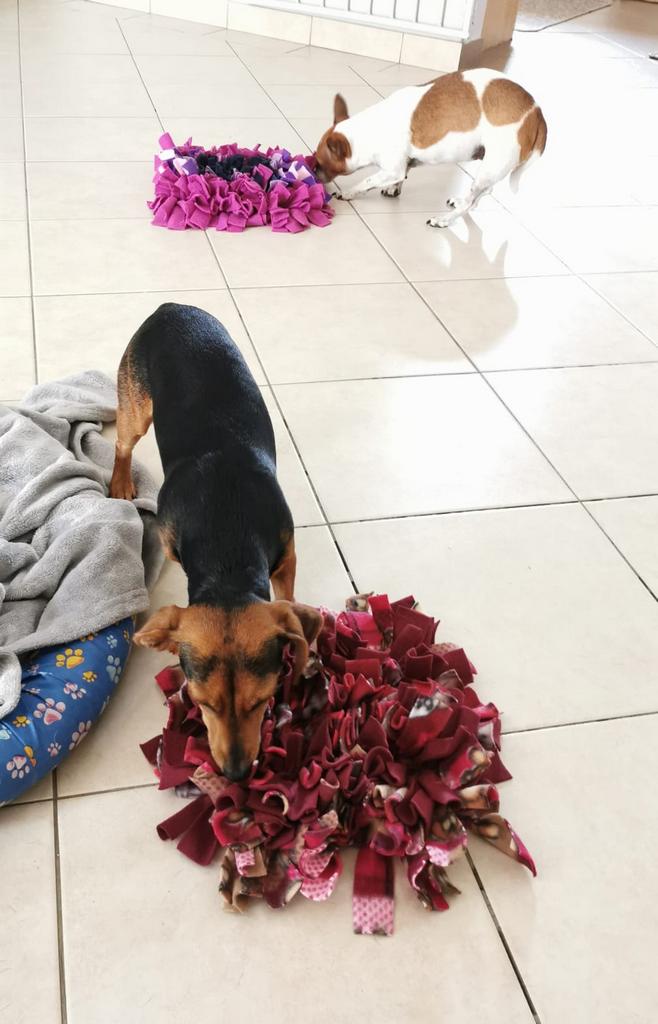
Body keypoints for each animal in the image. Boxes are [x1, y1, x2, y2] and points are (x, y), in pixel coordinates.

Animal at [108, 299, 321, 778]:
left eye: (263, 701)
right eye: (200, 702)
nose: (237, 773)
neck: (227, 552)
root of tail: (170, 307)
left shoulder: (287, 554)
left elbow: (288, 597)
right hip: (134, 403)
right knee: (122, 444)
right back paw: (120, 482)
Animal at [313, 69, 544, 227]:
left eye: (319, 163)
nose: (314, 173)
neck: (370, 129)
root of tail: (537, 113)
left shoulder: (392, 168)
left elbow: (367, 181)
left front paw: (348, 192)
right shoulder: (404, 164)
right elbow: (403, 174)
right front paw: (394, 188)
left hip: (492, 166)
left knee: (473, 201)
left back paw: (444, 220)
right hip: (489, 168)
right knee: (480, 194)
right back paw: (460, 201)